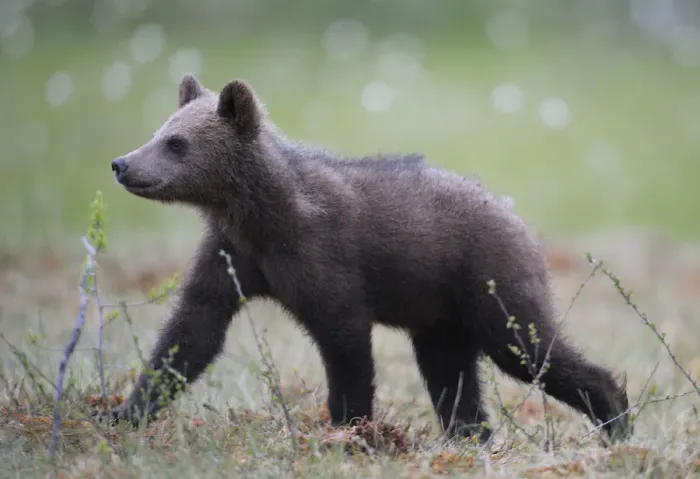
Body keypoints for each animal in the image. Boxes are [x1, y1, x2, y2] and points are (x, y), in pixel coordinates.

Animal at [100, 73, 631, 444]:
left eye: (177, 142)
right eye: (160, 131)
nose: (121, 164)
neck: (260, 216)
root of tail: (518, 218)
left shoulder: (321, 258)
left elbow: (345, 345)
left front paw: (350, 430)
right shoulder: (231, 256)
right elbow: (191, 333)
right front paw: (120, 411)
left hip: (489, 281)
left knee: (529, 348)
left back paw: (616, 419)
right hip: (440, 317)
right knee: (453, 378)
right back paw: (470, 439)